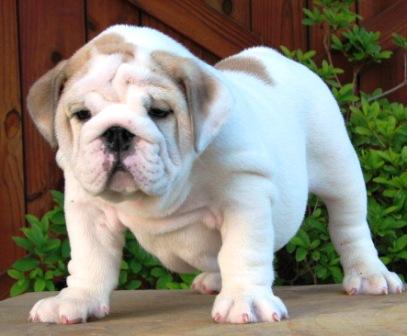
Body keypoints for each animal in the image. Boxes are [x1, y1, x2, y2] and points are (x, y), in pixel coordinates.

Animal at [26, 23, 404, 322]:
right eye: (82, 115)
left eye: (159, 111)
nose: (117, 132)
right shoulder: (87, 208)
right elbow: (89, 258)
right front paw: (77, 299)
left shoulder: (245, 197)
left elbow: (242, 249)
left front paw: (245, 299)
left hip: (339, 169)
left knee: (349, 226)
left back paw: (370, 275)